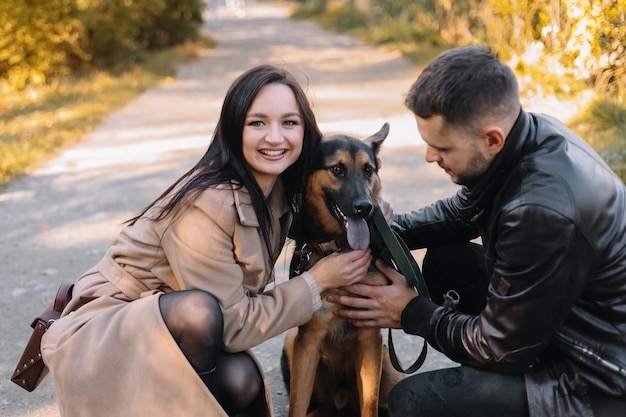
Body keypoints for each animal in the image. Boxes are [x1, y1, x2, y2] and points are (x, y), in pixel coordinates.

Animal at [280, 122, 402, 416]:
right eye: (337, 169)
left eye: (368, 170)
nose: (365, 208)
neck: (341, 247)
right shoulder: (308, 341)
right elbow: (296, 405)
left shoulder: (370, 338)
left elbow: (370, 404)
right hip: (292, 341)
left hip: (392, 367)